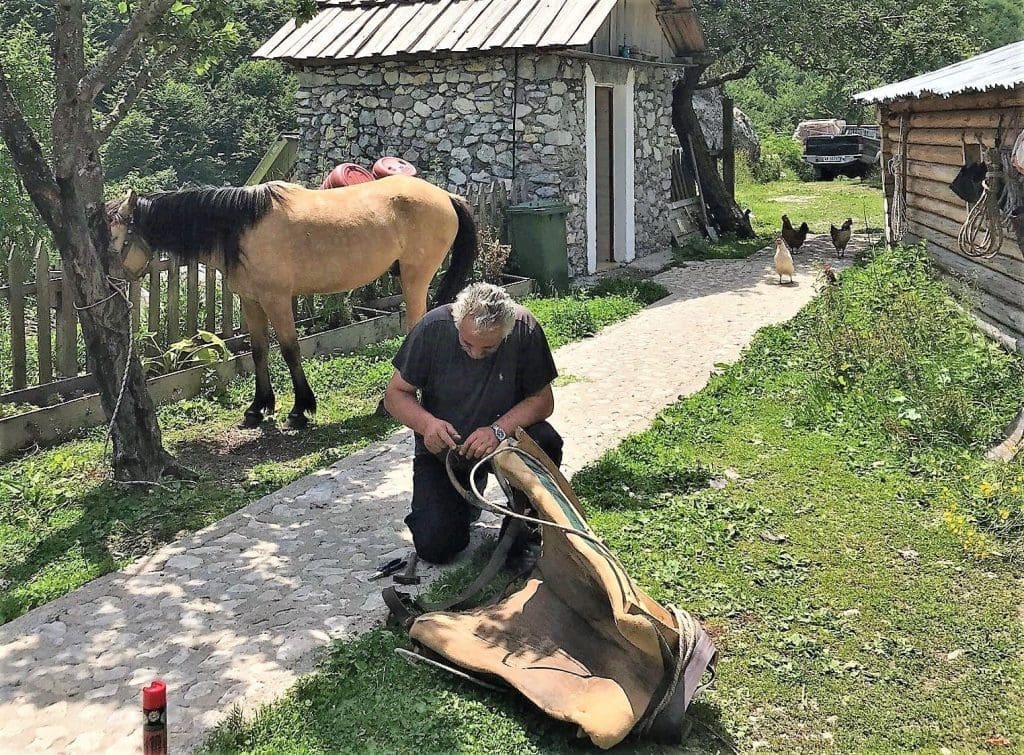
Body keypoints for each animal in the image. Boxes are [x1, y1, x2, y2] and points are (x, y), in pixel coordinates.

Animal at [108, 173, 479, 426]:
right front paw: (258, 407)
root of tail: (446, 195)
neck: (242, 226)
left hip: (416, 279)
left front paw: (301, 408)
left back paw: (387, 406)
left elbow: (289, 349)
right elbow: (259, 351)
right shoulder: (251, 301)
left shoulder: (276, 299)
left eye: (113, 239)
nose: (112, 284)